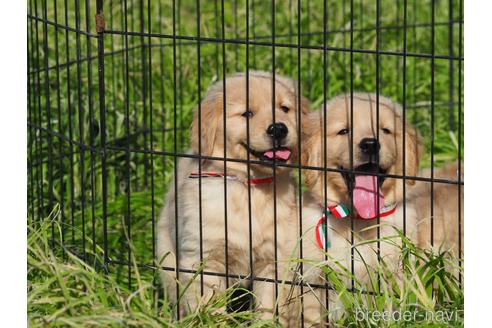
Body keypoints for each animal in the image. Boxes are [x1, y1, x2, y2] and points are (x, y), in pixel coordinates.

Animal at [158, 70, 310, 324]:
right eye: (247, 113)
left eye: (285, 108)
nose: (279, 129)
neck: (248, 186)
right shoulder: (205, 258)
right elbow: (209, 304)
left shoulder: (274, 259)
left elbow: (268, 305)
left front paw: (265, 324)